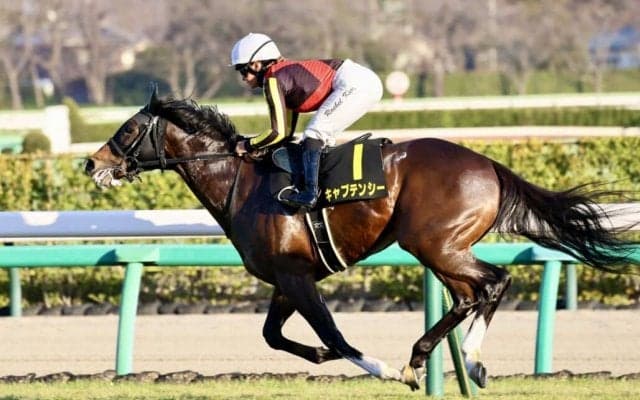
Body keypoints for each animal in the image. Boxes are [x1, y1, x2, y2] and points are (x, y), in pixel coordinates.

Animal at [84, 87, 639, 390]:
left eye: (129, 129)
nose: (91, 163)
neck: (241, 184)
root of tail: (490, 165)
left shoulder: (297, 276)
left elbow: (332, 334)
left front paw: (382, 369)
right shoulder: (286, 279)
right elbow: (275, 336)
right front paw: (326, 359)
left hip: (434, 243)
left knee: (493, 282)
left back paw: (441, 359)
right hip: (442, 248)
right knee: (472, 294)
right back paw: (453, 357)